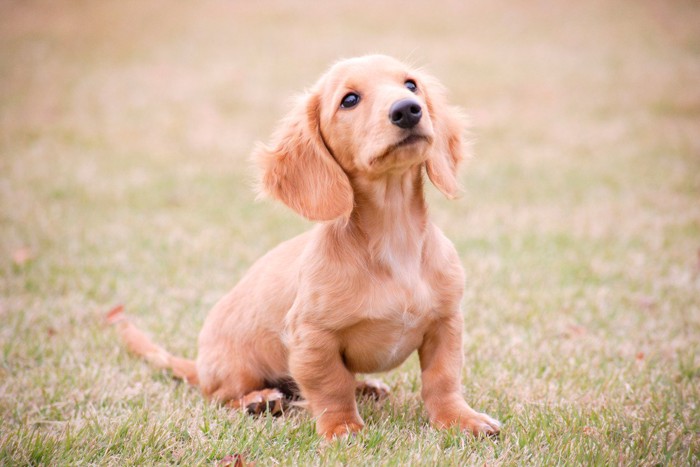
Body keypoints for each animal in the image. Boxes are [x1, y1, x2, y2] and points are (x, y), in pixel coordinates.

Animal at [109, 55, 500, 442]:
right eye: (349, 100)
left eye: (410, 85)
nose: (407, 110)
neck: (394, 238)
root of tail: (199, 365)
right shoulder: (313, 338)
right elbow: (331, 386)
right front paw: (342, 428)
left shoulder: (446, 323)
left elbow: (442, 379)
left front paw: (459, 419)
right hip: (235, 372)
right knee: (220, 397)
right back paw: (259, 400)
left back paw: (366, 388)